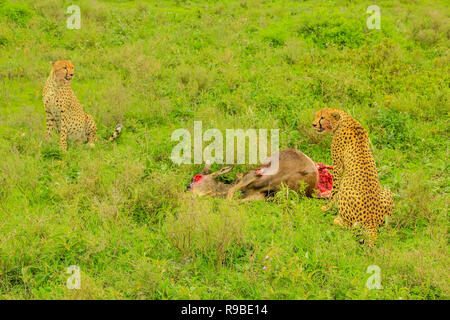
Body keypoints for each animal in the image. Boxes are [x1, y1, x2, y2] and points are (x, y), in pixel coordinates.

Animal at [312, 109, 394, 246]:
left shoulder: (338, 167)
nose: (313, 124)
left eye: (322, 117)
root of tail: (371, 220)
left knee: (351, 227)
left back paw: (338, 220)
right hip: (388, 192)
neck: (344, 119)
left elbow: (334, 189)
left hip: (345, 191)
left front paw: (327, 207)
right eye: (316, 116)